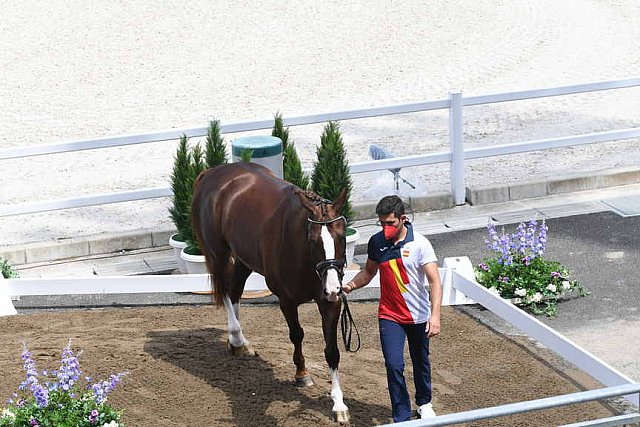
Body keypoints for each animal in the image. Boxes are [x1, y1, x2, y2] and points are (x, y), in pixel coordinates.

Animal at [190, 162, 350, 422]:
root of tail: (213, 173)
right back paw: (236, 338)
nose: (334, 287)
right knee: (225, 291)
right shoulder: (286, 300)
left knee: (234, 290)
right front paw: (301, 374)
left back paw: (238, 343)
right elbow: (297, 335)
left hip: (244, 258)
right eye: (314, 240)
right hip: (219, 254)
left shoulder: (329, 303)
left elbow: (332, 351)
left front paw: (338, 405)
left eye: (342, 236)